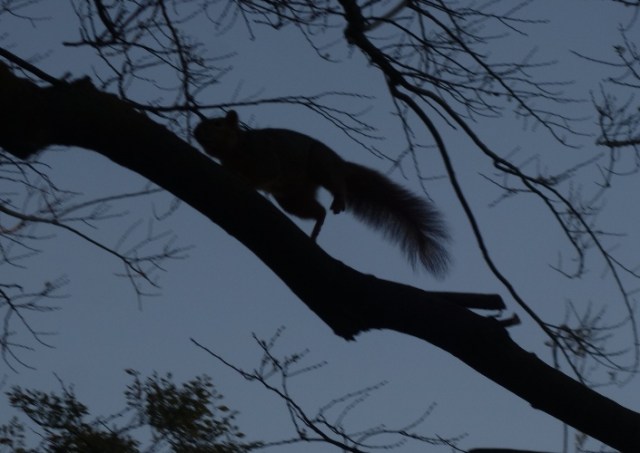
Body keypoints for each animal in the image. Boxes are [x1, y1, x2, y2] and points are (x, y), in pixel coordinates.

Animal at [194, 110, 450, 276]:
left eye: (217, 124)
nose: (196, 132)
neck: (236, 148)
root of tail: (340, 163)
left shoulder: (264, 154)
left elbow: (267, 171)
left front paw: (244, 180)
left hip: (319, 163)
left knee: (336, 183)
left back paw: (338, 198)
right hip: (291, 198)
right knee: (316, 210)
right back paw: (316, 227)